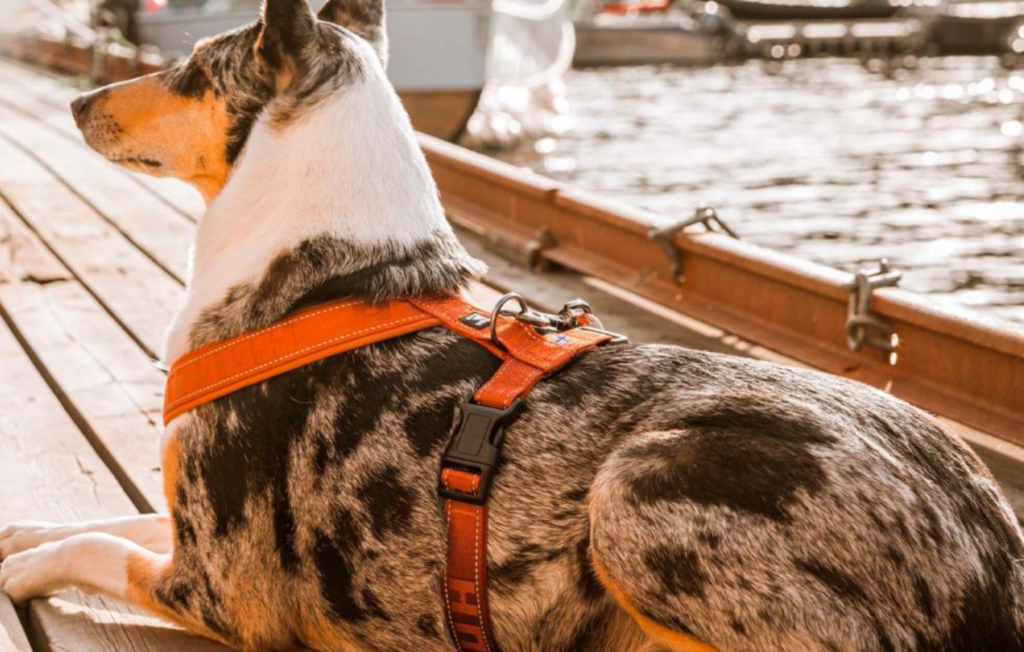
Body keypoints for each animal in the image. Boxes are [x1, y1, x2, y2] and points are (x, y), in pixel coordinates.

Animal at [2, 0, 1023, 650]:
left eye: (188, 70)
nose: (78, 100)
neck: (324, 274)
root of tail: (994, 562)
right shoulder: (181, 533)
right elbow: (117, 514)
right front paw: (21, 533)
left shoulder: (218, 584)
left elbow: (97, 546)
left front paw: (29, 565)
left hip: (633, 495)